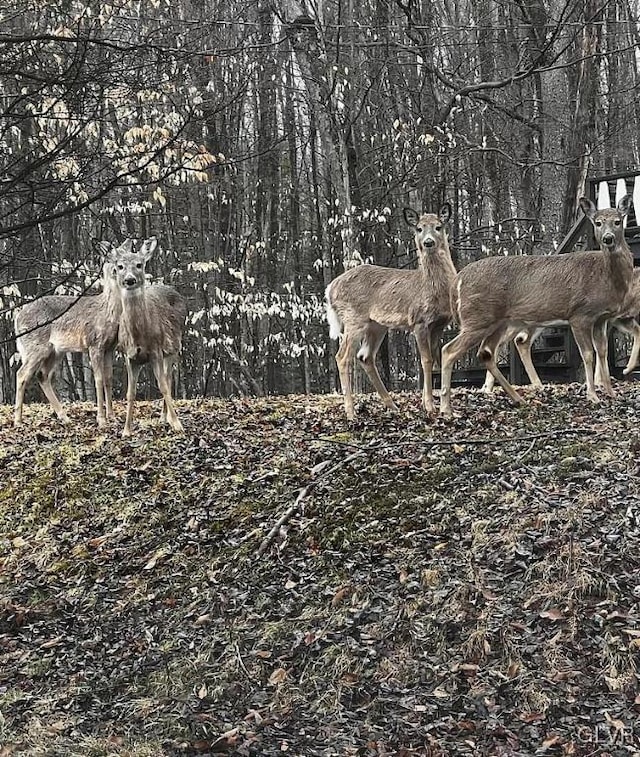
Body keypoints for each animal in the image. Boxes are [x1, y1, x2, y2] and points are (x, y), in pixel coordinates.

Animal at [13, 242, 131, 432]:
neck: (109, 311)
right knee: (22, 374)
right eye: (115, 262)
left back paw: (64, 417)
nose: (127, 278)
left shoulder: (109, 347)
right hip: (35, 346)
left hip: (55, 351)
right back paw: (18, 420)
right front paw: (101, 420)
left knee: (42, 375)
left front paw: (112, 417)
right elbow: (98, 379)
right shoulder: (94, 343)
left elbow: (108, 379)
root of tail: (17, 318)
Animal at [108, 236, 186, 438]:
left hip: (174, 346)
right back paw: (163, 417)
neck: (139, 335)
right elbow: (130, 392)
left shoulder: (156, 351)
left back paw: (166, 418)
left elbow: (163, 386)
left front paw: (177, 425)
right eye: (120, 266)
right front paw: (126, 430)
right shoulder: (129, 356)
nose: (129, 280)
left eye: (139, 264)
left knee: (168, 379)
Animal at [328, 204, 458, 420]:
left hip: (376, 325)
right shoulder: (419, 321)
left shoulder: (439, 324)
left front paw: (434, 404)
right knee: (343, 357)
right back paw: (351, 412)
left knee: (364, 356)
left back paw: (392, 406)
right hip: (354, 318)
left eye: (438, 227)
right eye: (419, 228)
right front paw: (429, 406)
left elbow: (435, 360)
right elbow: (426, 360)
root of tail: (330, 288)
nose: (428, 242)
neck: (433, 289)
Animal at [440, 195, 636, 416]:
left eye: (618, 221)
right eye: (598, 223)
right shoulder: (579, 314)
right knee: (448, 351)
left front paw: (611, 393)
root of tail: (458, 280)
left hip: (497, 322)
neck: (605, 276)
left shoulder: (602, 318)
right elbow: (587, 354)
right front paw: (593, 396)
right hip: (477, 318)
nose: (608, 238)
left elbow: (602, 352)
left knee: (485, 353)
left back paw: (518, 398)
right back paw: (446, 408)